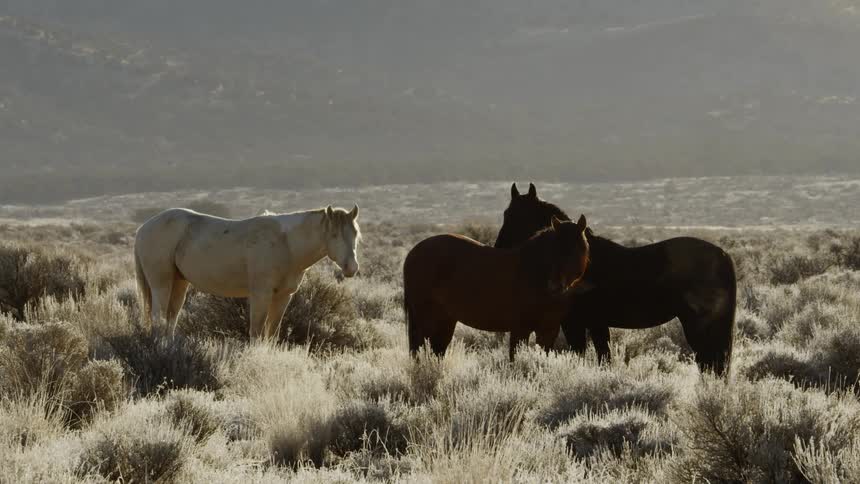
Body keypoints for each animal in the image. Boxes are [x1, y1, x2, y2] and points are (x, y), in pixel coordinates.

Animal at [134, 205, 361, 341]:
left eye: (355, 233)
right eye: (334, 234)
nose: (352, 268)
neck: (286, 244)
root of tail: (143, 228)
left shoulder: (283, 296)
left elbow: (272, 332)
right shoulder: (261, 294)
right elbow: (257, 331)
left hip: (179, 283)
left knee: (170, 319)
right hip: (161, 284)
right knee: (159, 317)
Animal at [403, 215, 590, 361]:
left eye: (574, 250)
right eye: (553, 250)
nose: (554, 287)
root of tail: (413, 252)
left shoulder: (548, 331)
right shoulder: (520, 330)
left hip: (445, 320)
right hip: (426, 320)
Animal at [494, 183, 736, 376]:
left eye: (518, 217)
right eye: (506, 213)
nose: (499, 249)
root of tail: (723, 256)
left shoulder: (576, 324)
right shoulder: (596, 324)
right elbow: (603, 358)